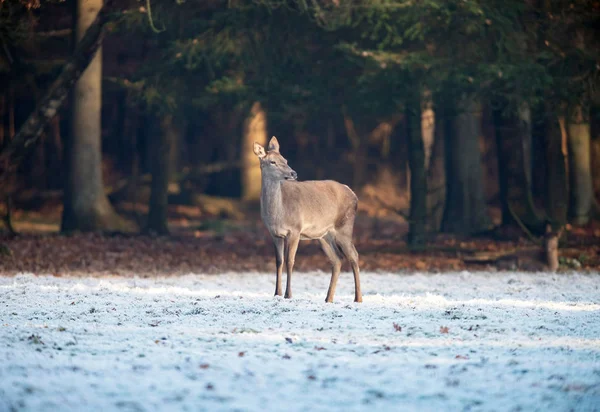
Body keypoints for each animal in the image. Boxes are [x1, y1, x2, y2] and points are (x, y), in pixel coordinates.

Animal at [253, 136, 360, 302]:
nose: (293, 173)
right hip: (324, 235)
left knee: (354, 255)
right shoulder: (274, 233)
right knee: (337, 259)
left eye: (285, 159)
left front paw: (288, 294)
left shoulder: (295, 229)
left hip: (345, 226)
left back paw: (357, 298)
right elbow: (279, 261)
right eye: (272, 162)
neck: (278, 213)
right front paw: (276, 293)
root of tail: (353, 194)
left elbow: (290, 261)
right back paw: (328, 298)